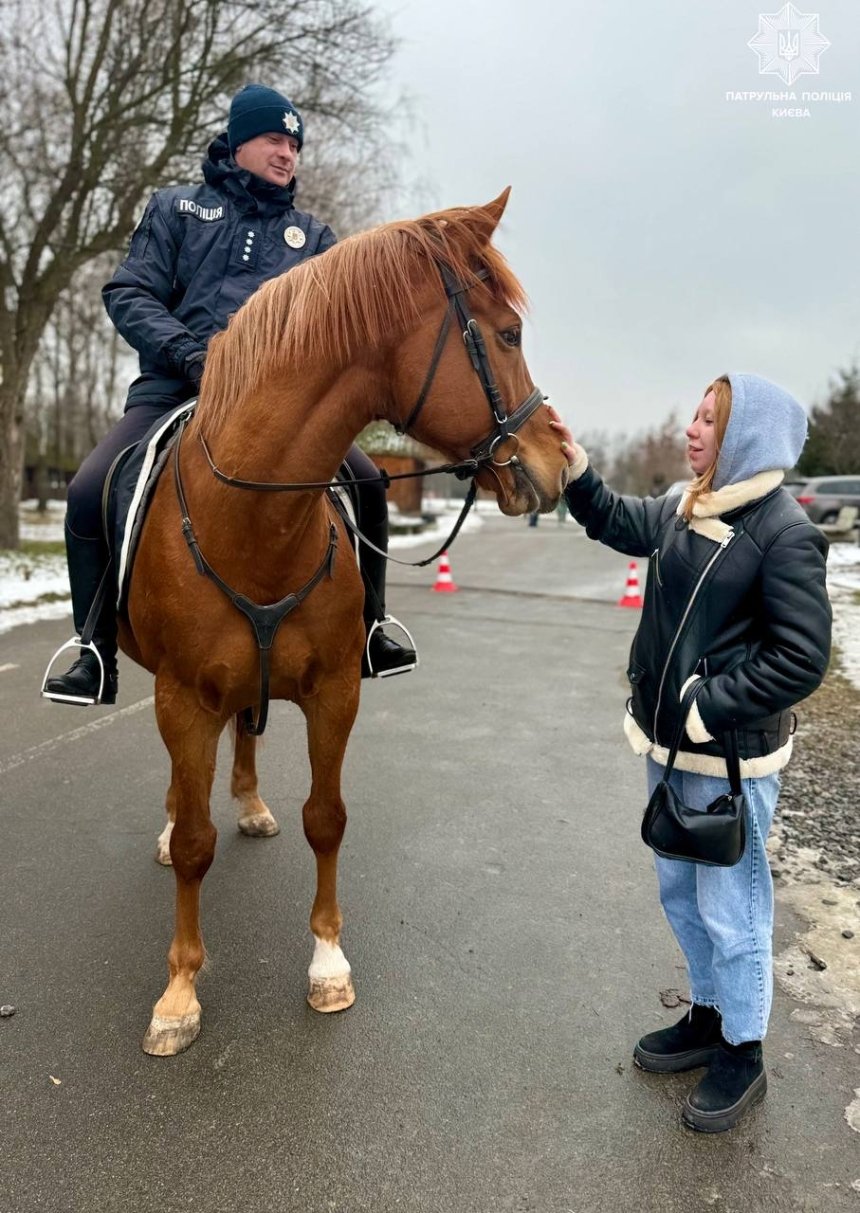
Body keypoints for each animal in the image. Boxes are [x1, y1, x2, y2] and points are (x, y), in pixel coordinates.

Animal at [118, 189, 562, 1052]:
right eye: (510, 333)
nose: (563, 460)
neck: (255, 522)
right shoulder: (182, 697)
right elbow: (193, 845)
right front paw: (179, 992)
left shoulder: (334, 693)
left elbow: (326, 819)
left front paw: (327, 963)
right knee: (190, 787)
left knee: (247, 732)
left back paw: (251, 804)